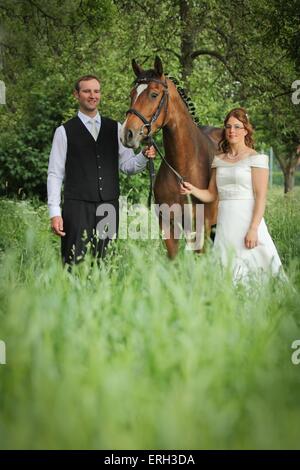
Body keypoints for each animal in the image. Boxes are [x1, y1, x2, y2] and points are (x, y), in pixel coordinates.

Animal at [120, 57, 221, 258]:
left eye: (154, 94)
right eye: (132, 94)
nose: (127, 134)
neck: (184, 167)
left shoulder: (202, 227)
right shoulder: (168, 226)